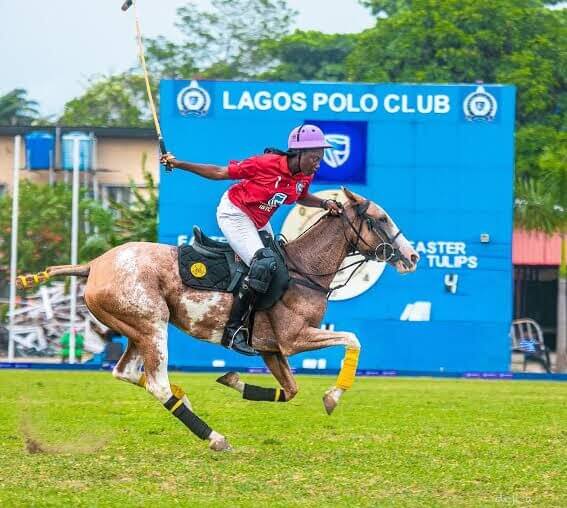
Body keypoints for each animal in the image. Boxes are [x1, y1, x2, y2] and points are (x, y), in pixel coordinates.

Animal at [17, 189, 420, 450]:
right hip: (152, 324)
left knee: (127, 372)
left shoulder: (270, 348)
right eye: (381, 219)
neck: (304, 270)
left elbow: (290, 390)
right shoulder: (294, 338)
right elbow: (353, 339)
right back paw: (214, 437)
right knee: (156, 383)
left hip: (134, 329)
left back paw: (187, 402)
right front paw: (333, 397)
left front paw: (233, 380)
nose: (413, 256)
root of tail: (94, 264)